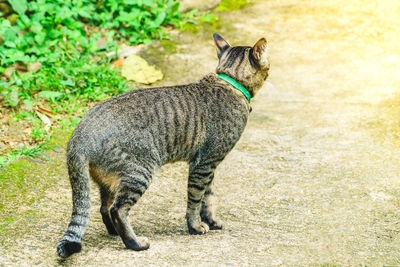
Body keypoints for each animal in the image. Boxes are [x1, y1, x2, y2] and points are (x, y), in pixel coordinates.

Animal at [56, 33, 270, 258]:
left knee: (104, 208)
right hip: (140, 171)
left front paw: (211, 221)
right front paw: (195, 226)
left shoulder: (208, 165)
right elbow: (196, 199)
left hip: (110, 180)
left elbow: (208, 198)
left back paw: (115, 232)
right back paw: (135, 243)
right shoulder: (204, 164)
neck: (229, 82)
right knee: (117, 209)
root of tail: (79, 136)